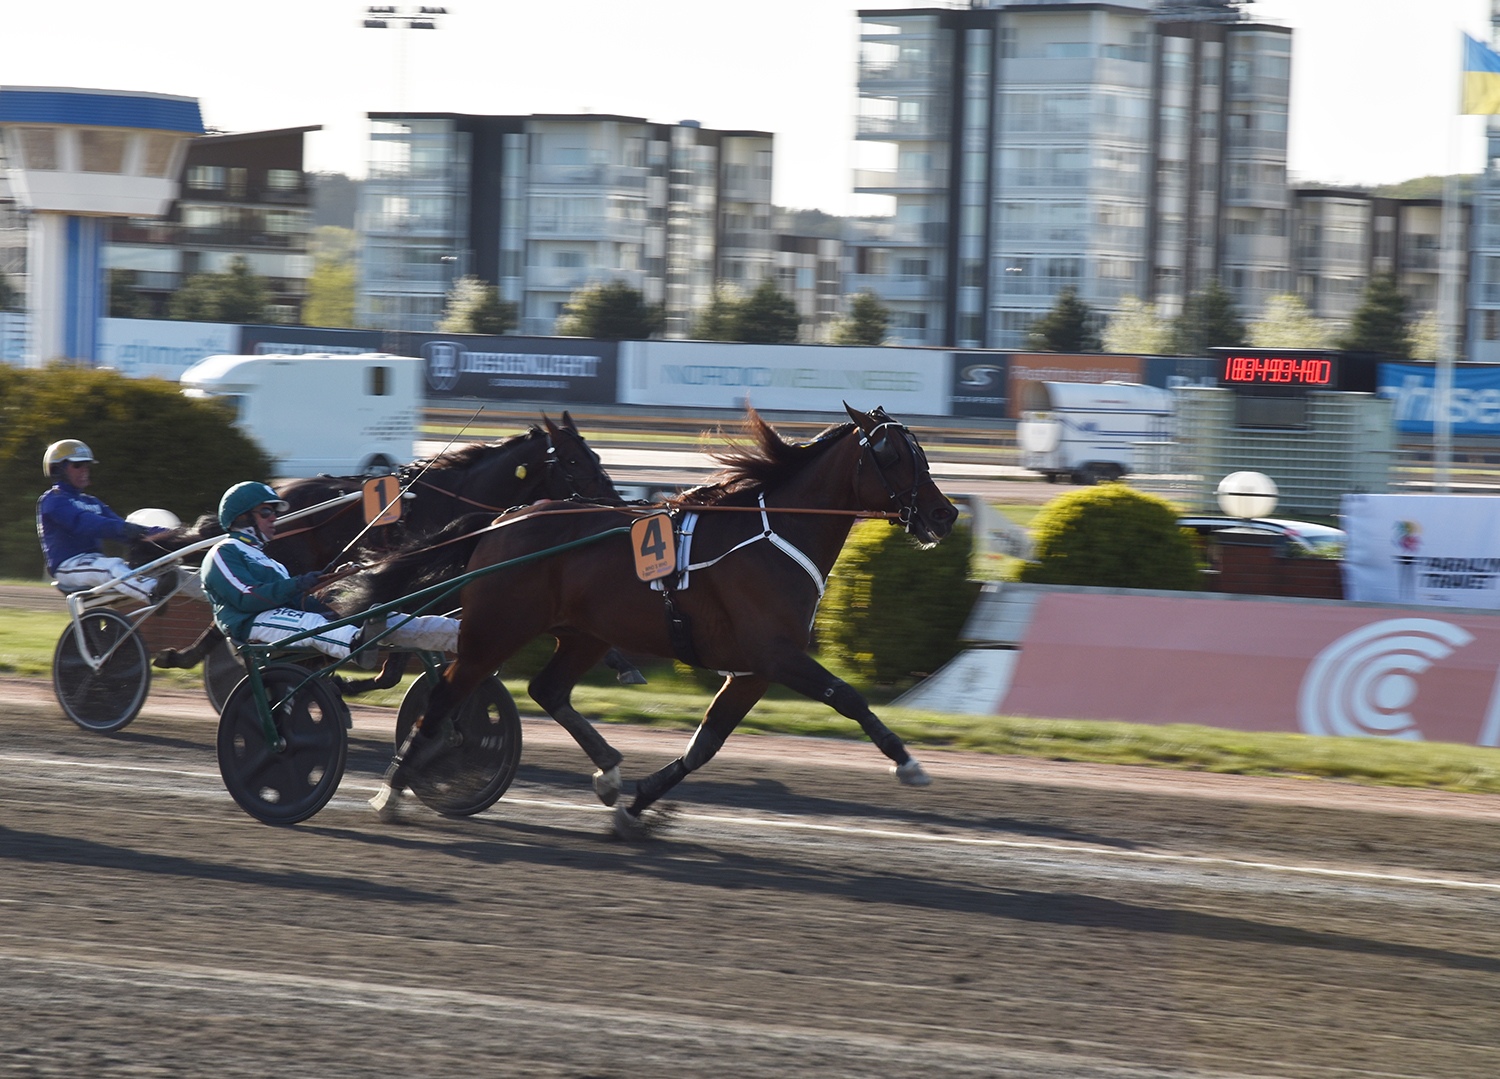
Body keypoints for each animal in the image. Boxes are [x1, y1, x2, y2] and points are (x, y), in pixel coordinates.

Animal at [357, 405, 954, 834]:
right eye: (895, 456)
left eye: (921, 454)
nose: (945, 514)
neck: (770, 535)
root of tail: (503, 518)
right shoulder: (777, 654)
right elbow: (847, 696)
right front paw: (908, 763)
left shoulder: (753, 670)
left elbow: (704, 745)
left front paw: (637, 805)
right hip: (496, 630)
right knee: (446, 695)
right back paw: (394, 787)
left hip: (583, 634)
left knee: (547, 690)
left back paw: (609, 771)